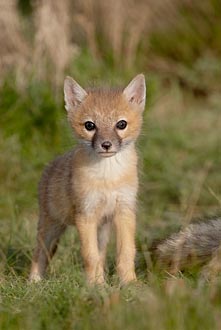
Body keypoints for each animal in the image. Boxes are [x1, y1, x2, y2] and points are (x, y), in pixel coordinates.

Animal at [29, 74, 147, 284]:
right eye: (89, 125)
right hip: (51, 227)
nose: (106, 145)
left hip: (102, 230)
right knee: (39, 254)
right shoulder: (86, 214)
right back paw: (34, 282)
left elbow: (126, 252)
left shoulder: (125, 210)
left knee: (101, 254)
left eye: (121, 124)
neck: (108, 178)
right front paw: (96, 285)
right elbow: (90, 256)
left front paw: (129, 283)